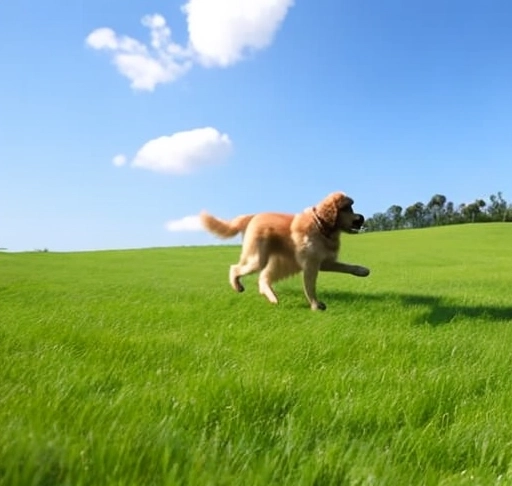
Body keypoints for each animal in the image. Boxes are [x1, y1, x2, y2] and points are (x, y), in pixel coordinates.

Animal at [198, 191, 370, 310]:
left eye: (351, 207)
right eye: (346, 208)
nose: (362, 218)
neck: (321, 226)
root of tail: (253, 216)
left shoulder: (324, 262)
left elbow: (347, 267)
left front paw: (362, 271)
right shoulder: (311, 265)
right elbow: (310, 287)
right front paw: (315, 305)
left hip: (281, 263)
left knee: (263, 278)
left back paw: (272, 298)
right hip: (259, 259)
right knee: (235, 268)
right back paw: (238, 286)